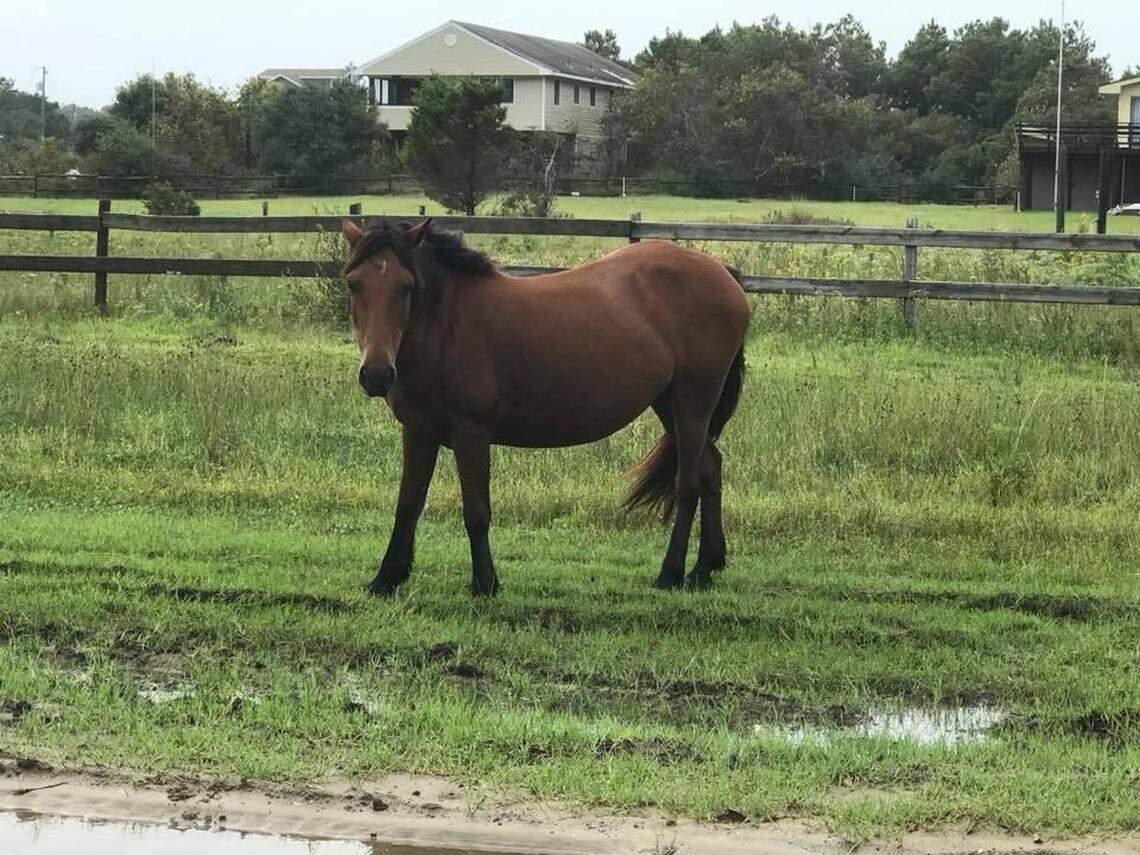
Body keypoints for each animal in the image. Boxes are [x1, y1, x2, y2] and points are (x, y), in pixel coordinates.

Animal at [340, 218, 749, 596]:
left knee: (689, 483)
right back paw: (704, 568)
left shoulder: (471, 435)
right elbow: (408, 504)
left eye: (407, 286)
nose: (376, 375)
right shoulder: (418, 432)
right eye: (353, 284)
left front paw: (484, 582)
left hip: (693, 401)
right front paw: (387, 577)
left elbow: (476, 511)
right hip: (668, 404)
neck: (447, 326)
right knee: (711, 467)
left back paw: (671, 573)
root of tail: (724, 275)